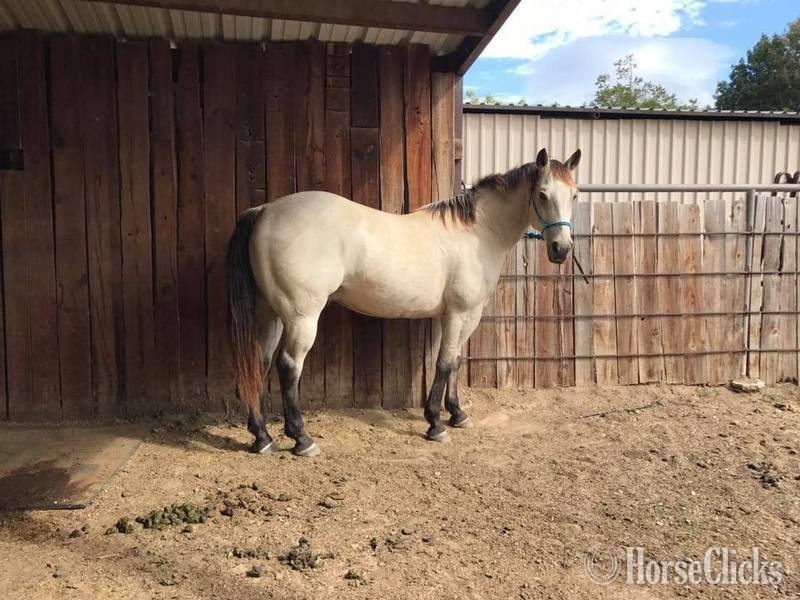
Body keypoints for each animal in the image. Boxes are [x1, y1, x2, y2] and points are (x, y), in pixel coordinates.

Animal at [227, 147, 581, 456]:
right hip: (301, 317)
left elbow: (454, 361)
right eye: (542, 194)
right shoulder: (462, 313)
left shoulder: (459, 315)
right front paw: (436, 425)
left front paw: (457, 414)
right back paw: (301, 439)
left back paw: (262, 437)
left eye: (575, 195)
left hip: (271, 313)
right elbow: (445, 363)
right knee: (288, 366)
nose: (561, 249)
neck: (478, 232)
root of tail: (265, 211)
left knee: (260, 362)